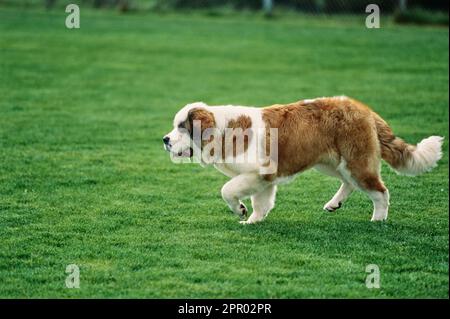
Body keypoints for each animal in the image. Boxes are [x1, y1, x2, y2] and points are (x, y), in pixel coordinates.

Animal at [163, 97, 442, 225]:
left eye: (181, 127)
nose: (165, 139)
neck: (223, 130)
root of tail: (364, 109)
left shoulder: (258, 173)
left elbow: (227, 190)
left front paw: (241, 210)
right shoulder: (264, 179)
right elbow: (261, 201)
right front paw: (254, 220)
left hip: (356, 162)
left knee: (380, 191)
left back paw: (378, 219)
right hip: (332, 163)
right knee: (350, 183)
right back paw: (334, 204)